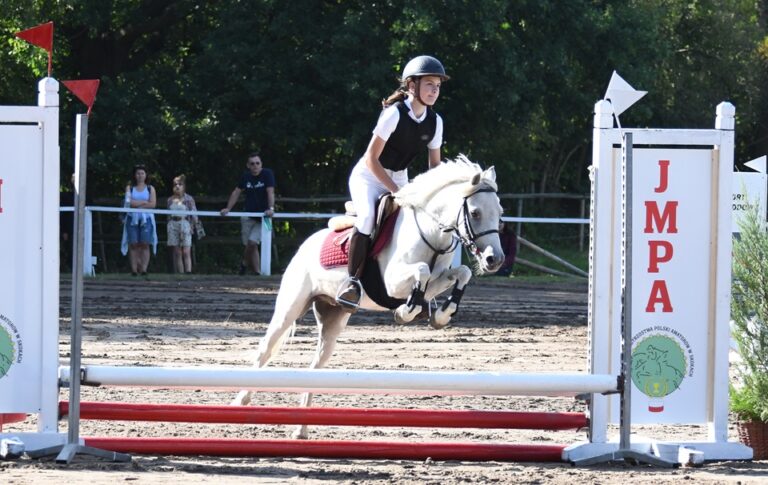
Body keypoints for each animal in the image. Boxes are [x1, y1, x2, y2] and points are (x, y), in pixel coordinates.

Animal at [232, 156, 504, 438]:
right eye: (475, 213)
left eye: (500, 212)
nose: (495, 260)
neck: (431, 234)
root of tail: (306, 245)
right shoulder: (393, 284)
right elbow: (422, 270)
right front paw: (406, 312)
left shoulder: (435, 282)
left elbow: (461, 273)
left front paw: (441, 314)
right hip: (290, 307)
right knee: (265, 349)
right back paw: (240, 401)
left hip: (333, 317)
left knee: (315, 367)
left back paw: (301, 429)